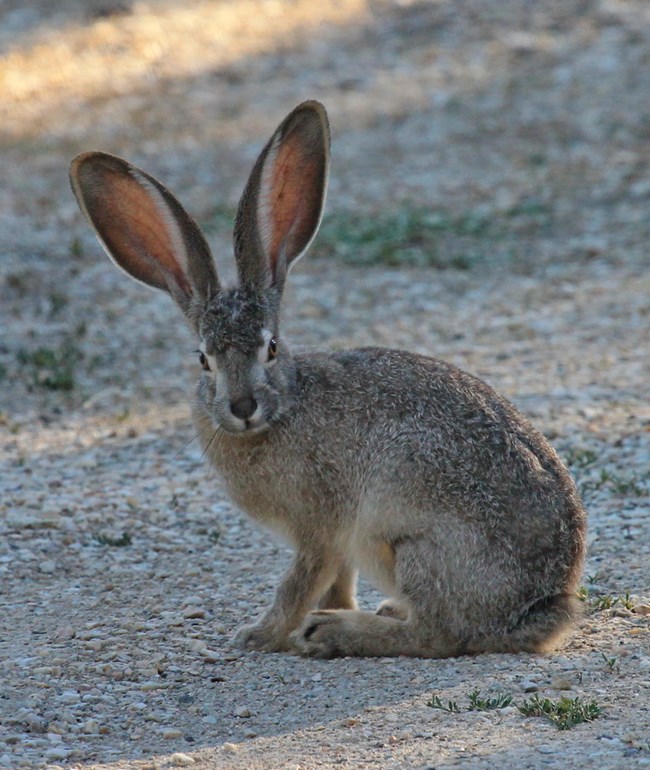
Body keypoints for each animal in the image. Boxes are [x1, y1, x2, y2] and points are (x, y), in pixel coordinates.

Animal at [69, 100, 587, 659]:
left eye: (271, 347)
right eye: (203, 359)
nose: (243, 406)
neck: (285, 407)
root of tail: (546, 604)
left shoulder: (320, 524)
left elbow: (300, 581)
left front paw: (261, 635)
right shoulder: (333, 539)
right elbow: (335, 581)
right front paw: (316, 616)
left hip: (413, 544)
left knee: (440, 633)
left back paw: (337, 632)